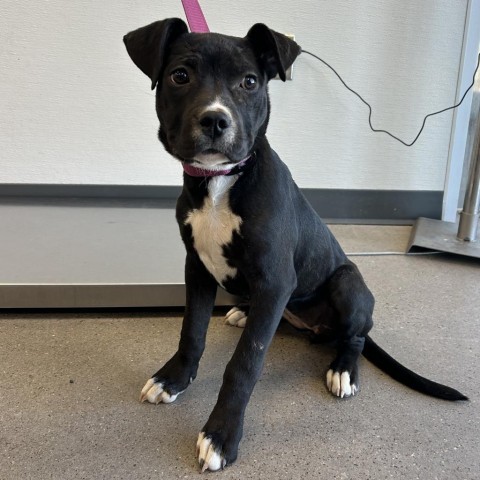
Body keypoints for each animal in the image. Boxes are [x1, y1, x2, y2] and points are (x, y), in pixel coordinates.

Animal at [123, 19, 464, 472]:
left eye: (250, 82)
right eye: (180, 76)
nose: (215, 121)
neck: (221, 183)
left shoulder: (274, 282)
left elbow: (245, 363)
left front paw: (221, 435)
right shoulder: (196, 267)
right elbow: (191, 332)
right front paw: (173, 379)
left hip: (347, 283)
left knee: (356, 337)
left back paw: (343, 370)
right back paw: (241, 311)